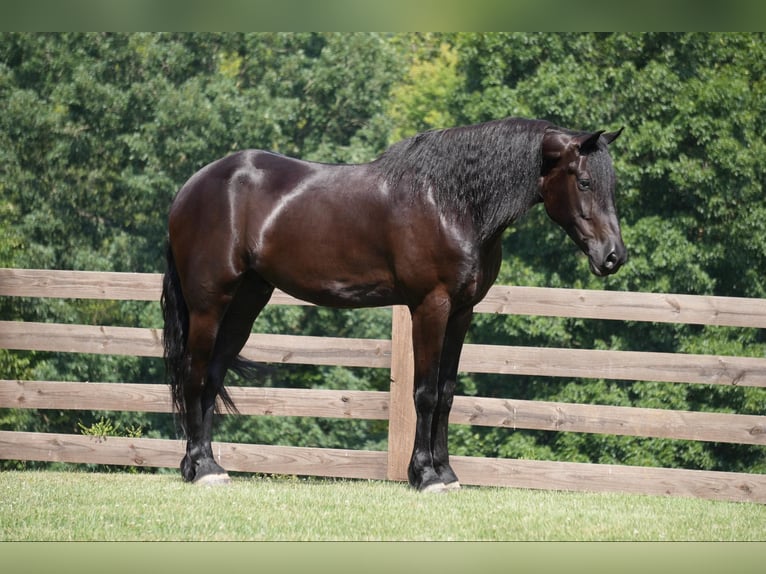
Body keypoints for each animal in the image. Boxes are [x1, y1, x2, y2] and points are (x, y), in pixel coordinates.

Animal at [161, 117, 626, 492]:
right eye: (584, 182)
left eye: (612, 186)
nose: (613, 256)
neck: (450, 202)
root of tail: (191, 187)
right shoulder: (430, 306)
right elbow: (425, 392)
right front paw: (425, 475)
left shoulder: (462, 313)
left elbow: (447, 393)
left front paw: (447, 473)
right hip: (209, 304)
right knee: (194, 375)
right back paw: (201, 469)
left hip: (246, 302)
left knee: (212, 376)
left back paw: (209, 466)